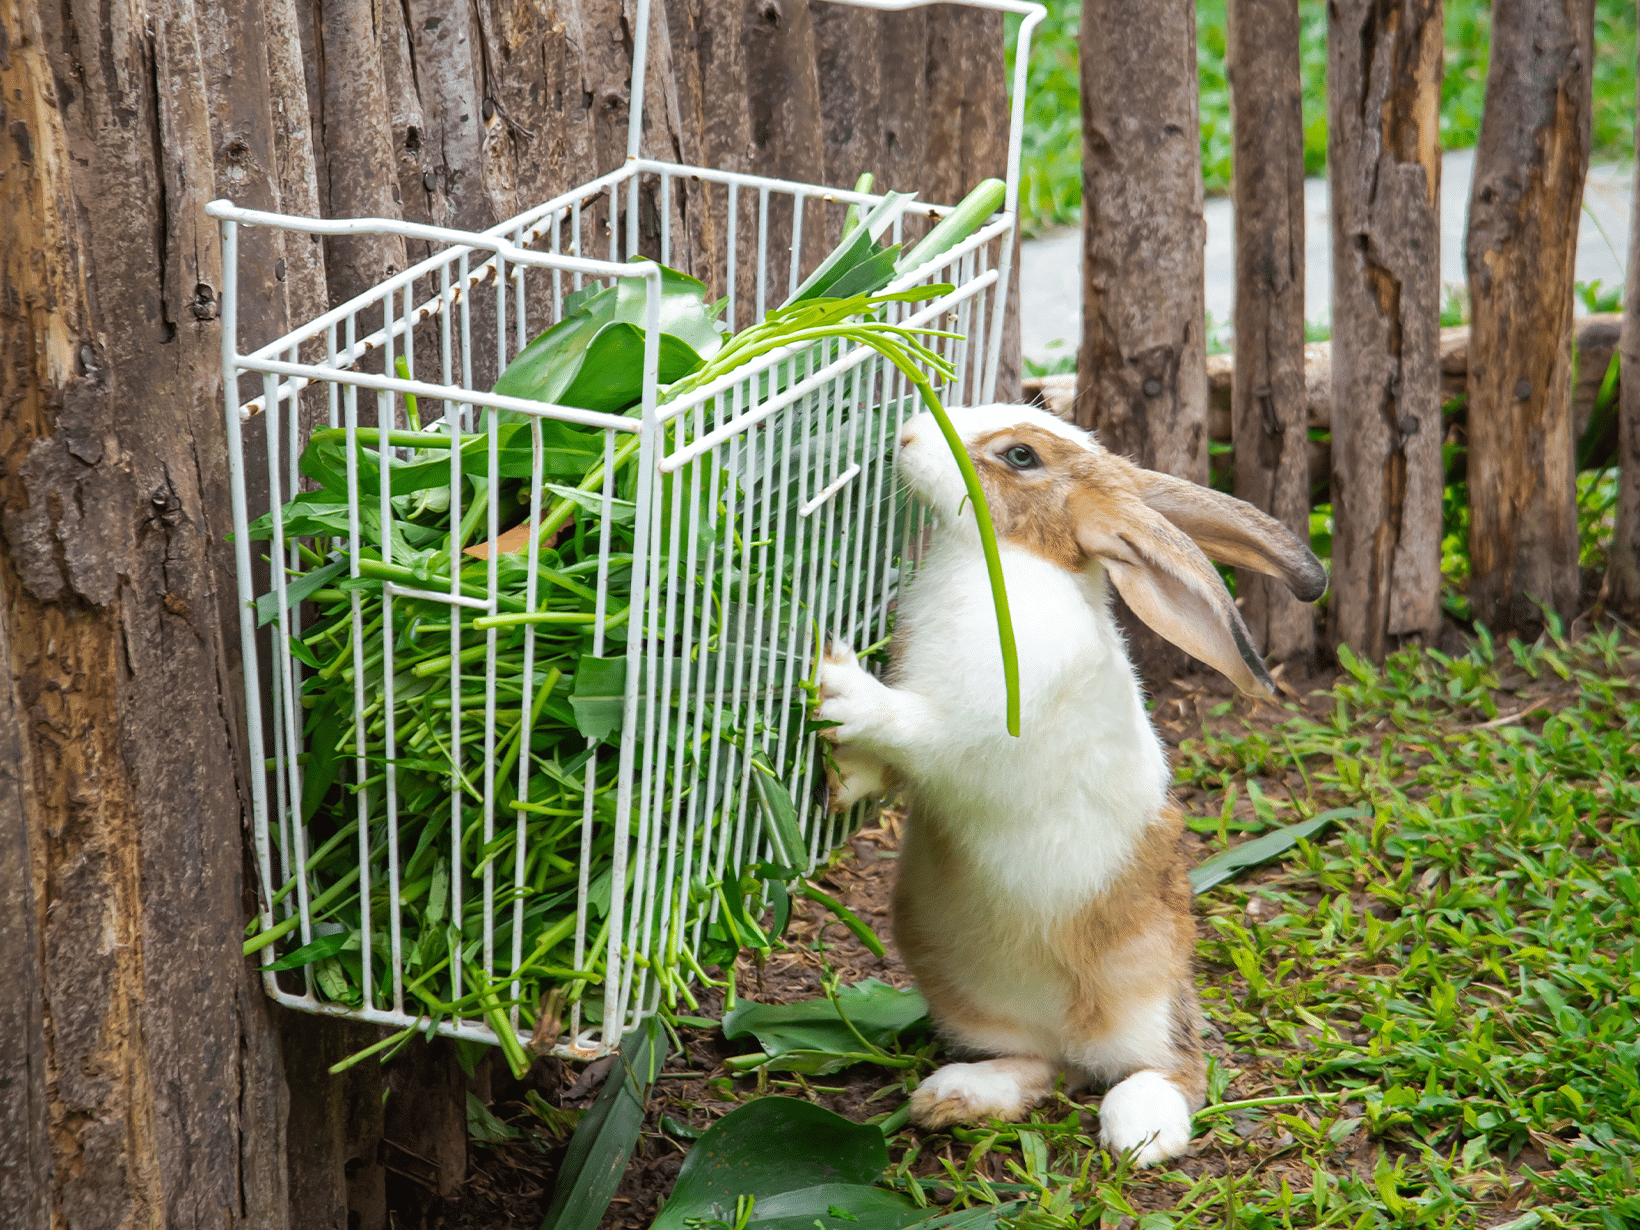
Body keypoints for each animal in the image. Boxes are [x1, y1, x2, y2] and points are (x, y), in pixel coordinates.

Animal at [813, 401, 1325, 1167]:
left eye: (1021, 456)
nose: (906, 434)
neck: (1009, 560)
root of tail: (1075, 1036)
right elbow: (891, 765)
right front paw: (846, 782)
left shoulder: (965, 723)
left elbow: (908, 725)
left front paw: (841, 687)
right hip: (965, 992)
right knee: (1039, 1066)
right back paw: (954, 1095)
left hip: (1145, 997)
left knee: (1172, 1068)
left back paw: (1140, 1132)